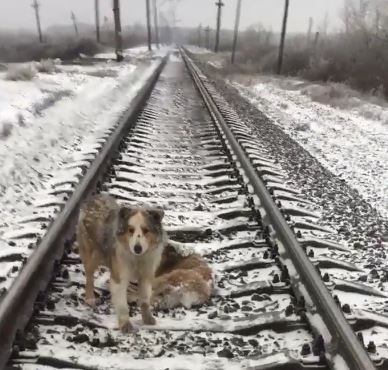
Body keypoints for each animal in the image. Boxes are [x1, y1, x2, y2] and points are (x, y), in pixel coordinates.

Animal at [76, 194, 166, 332]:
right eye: (130, 230)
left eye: (146, 230)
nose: (137, 248)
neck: (137, 257)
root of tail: (93, 197)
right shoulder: (120, 276)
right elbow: (123, 304)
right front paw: (125, 325)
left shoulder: (146, 274)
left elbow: (145, 299)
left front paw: (147, 319)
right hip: (93, 252)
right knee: (89, 275)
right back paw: (90, 297)